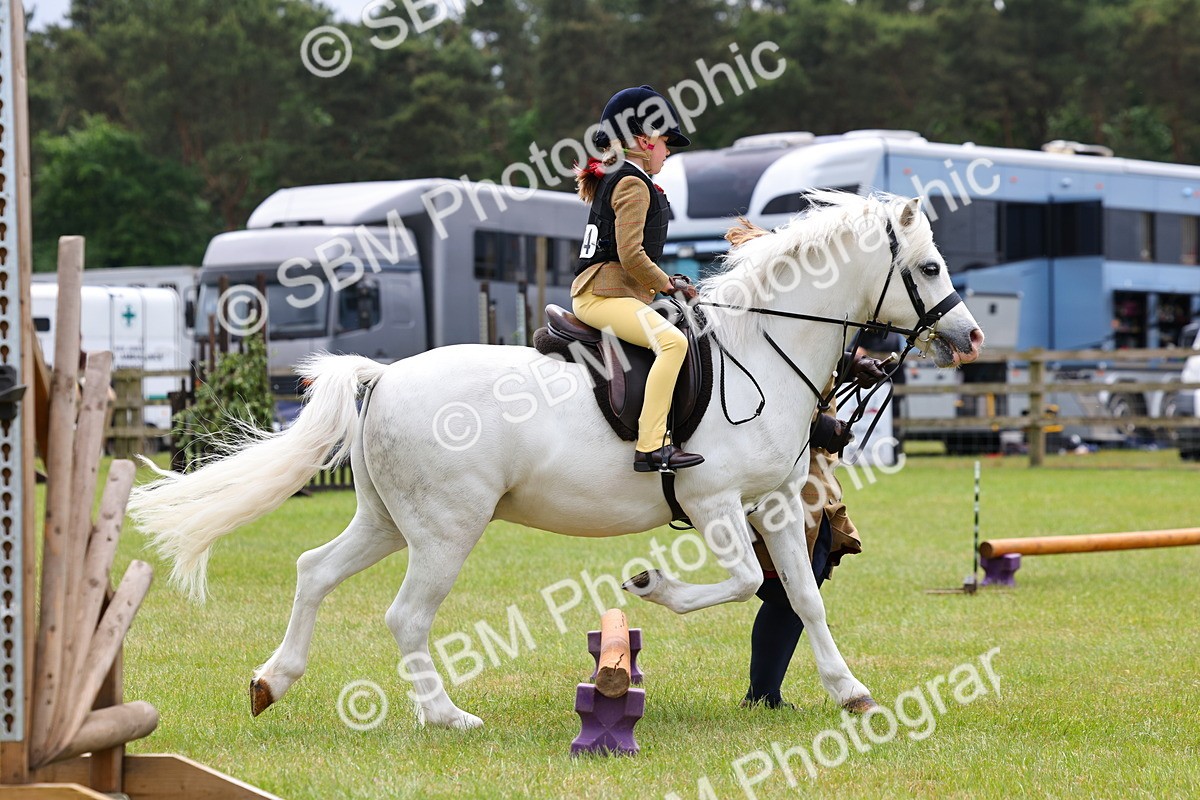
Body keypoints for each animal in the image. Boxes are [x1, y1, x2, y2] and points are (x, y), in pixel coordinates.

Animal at [128, 190, 984, 730]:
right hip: (446, 529)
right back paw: (444, 715)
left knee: (313, 571)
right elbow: (743, 583)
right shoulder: (712, 503)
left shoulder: (771, 504)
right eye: (930, 267)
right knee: (406, 616)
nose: (971, 336)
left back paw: (271, 682)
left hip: (389, 522)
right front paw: (650, 586)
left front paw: (853, 694)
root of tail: (384, 376)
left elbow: (801, 599)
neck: (761, 350)